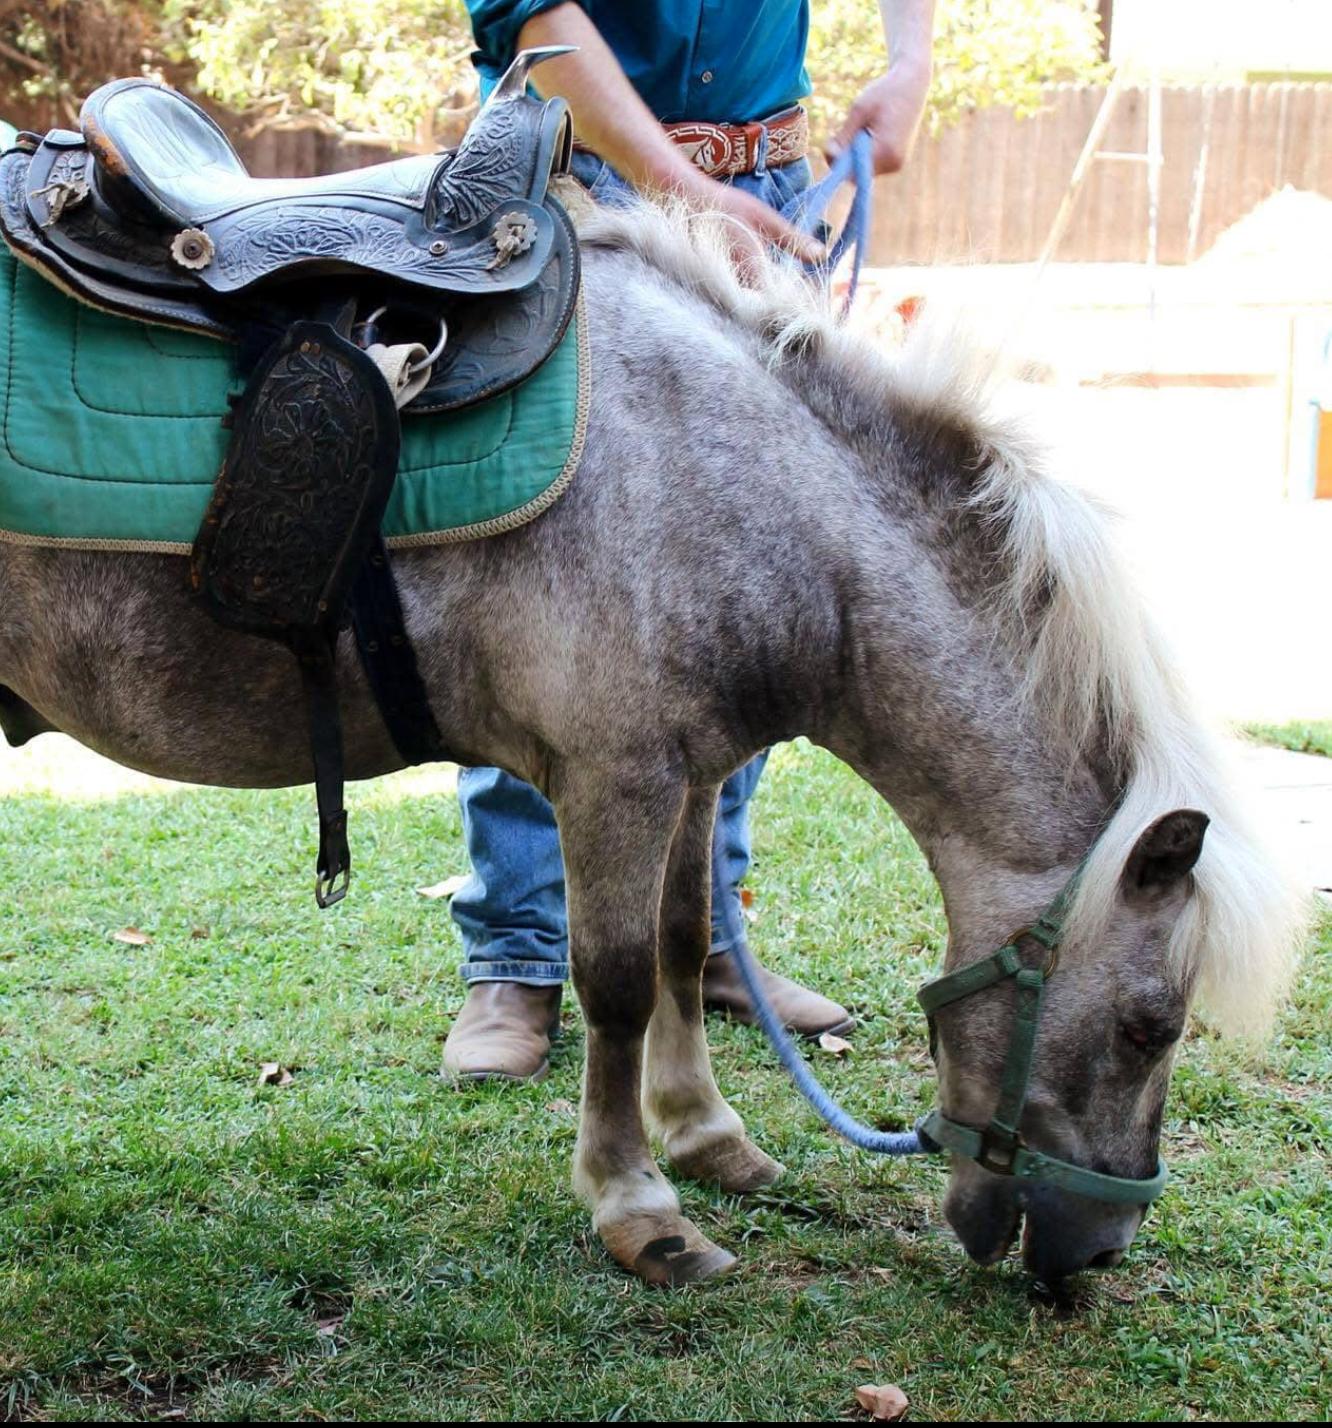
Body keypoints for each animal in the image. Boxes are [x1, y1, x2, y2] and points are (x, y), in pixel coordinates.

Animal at [0, 201, 1304, 1289]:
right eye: (1151, 1027)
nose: (1100, 1249)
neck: (734, 493)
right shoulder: (613, 781)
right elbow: (619, 984)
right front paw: (637, 1204)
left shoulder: (695, 773)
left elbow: (684, 946)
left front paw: (708, 1136)